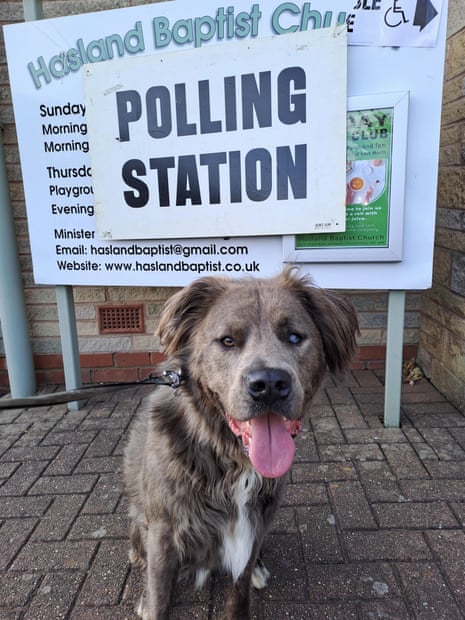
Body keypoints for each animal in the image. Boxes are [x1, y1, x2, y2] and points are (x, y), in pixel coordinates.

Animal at [121, 270, 358, 620]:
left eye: (294, 337)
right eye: (228, 341)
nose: (270, 384)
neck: (229, 459)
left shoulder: (251, 527)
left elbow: (239, 591)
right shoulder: (164, 531)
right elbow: (160, 596)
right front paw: (151, 600)